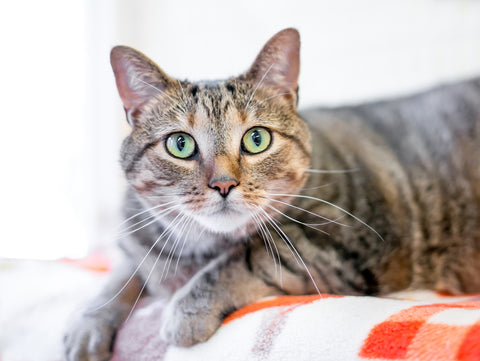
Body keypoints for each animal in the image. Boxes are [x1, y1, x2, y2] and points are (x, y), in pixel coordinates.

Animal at [62, 28, 480, 360]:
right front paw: (88, 323)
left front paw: (185, 312)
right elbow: (122, 273)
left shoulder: (344, 246)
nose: (223, 184)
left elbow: (247, 257)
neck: (194, 251)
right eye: (180, 144)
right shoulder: (137, 238)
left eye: (256, 139)